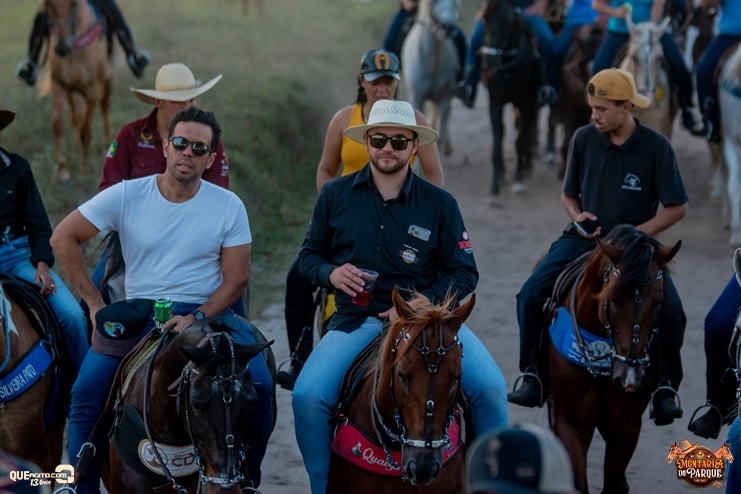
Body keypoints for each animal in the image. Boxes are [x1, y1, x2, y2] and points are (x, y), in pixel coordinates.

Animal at [41, 0, 117, 183]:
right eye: (49, 4)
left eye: (74, 4)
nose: (62, 47)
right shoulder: (59, 86)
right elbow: (58, 124)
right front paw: (62, 170)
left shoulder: (93, 90)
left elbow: (86, 130)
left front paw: (84, 168)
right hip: (72, 91)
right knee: (76, 116)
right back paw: (76, 146)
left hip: (107, 82)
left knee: (105, 107)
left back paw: (106, 141)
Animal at [401, 0, 461, 157]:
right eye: (434, 2)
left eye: (455, 2)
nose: (448, 27)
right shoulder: (417, 99)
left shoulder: (444, 98)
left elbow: (440, 135)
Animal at [480, 0, 541, 204]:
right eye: (486, 18)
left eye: (507, 21)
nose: (490, 60)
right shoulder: (495, 102)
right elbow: (498, 135)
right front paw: (495, 185)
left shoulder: (526, 102)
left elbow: (521, 140)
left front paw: (519, 178)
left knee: (528, 129)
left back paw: (526, 164)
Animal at [548, 225, 681, 494]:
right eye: (613, 299)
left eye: (659, 302)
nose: (630, 377)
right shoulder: (570, 421)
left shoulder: (627, 423)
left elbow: (615, 483)